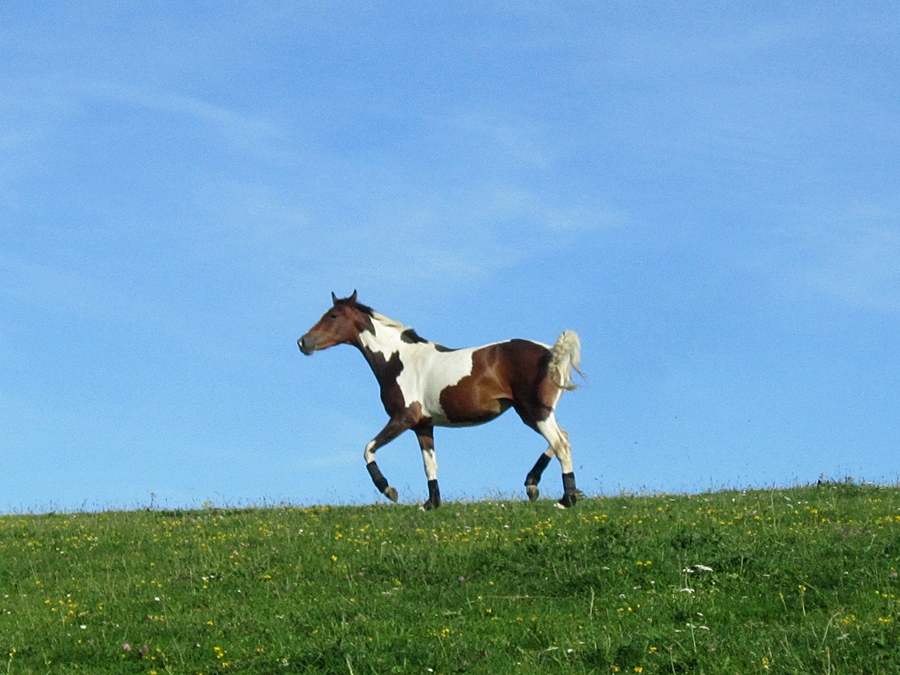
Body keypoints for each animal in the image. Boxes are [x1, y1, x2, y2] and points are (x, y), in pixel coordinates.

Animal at [298, 291, 583, 509]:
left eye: (333, 316)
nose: (303, 342)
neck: (398, 360)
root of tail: (551, 352)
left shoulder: (403, 418)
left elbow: (368, 449)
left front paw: (389, 490)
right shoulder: (423, 426)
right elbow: (430, 465)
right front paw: (431, 504)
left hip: (535, 412)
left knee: (561, 445)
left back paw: (566, 499)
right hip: (534, 413)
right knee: (564, 438)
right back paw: (533, 485)